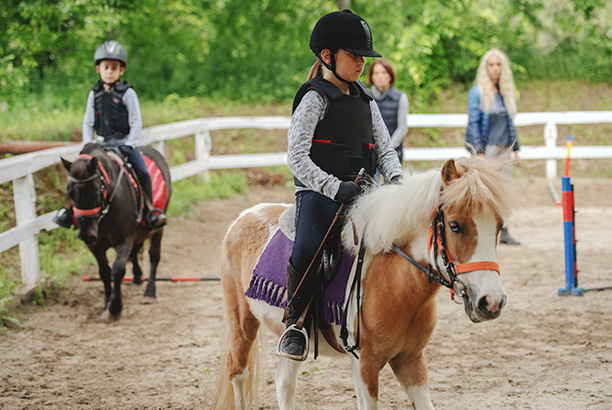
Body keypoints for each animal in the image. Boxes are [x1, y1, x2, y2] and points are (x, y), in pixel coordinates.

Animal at [61, 143, 171, 320]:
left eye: (94, 191)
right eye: (68, 192)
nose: (86, 234)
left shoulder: (124, 240)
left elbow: (118, 270)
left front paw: (115, 307)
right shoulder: (95, 246)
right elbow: (105, 272)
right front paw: (107, 305)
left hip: (158, 228)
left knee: (154, 255)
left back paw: (149, 292)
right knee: (135, 252)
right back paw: (137, 278)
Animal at [213, 155, 512, 408]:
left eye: (499, 226)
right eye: (455, 226)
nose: (492, 302)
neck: (394, 283)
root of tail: (246, 215)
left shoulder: (411, 361)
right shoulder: (365, 365)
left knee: (284, 383)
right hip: (242, 321)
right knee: (238, 373)